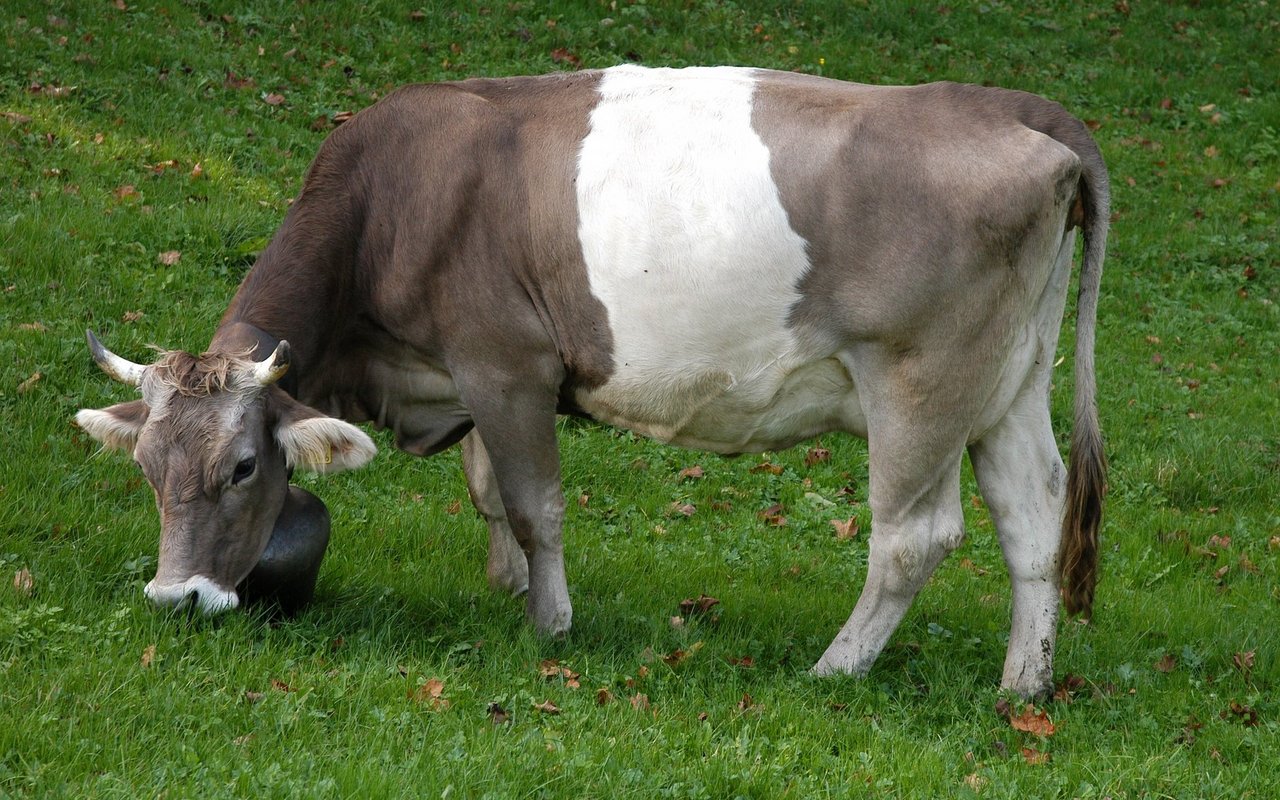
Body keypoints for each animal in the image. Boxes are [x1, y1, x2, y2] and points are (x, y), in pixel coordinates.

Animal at [75, 65, 1107, 700]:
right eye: (147, 469)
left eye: (246, 467)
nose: (177, 599)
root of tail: (1003, 105)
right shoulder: (462, 378)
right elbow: (490, 491)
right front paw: (507, 586)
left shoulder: (505, 364)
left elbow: (536, 504)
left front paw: (550, 624)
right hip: (1011, 382)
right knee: (1034, 513)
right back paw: (1023, 683)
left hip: (919, 385)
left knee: (912, 538)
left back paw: (835, 669)